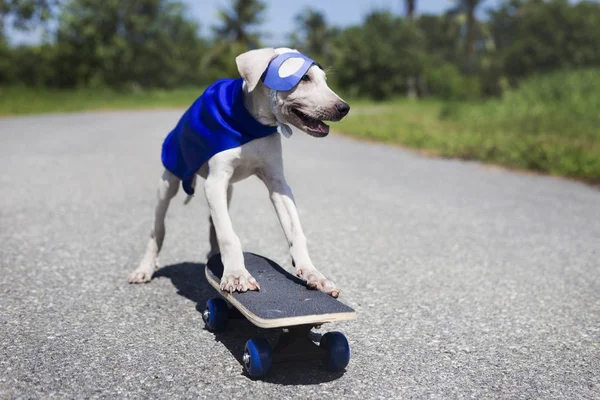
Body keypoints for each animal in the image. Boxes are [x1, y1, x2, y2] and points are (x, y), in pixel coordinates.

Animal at [129, 47, 350, 296]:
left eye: (324, 80)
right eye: (304, 78)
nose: (344, 108)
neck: (251, 124)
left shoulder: (277, 183)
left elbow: (295, 231)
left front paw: (313, 273)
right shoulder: (215, 182)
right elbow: (228, 234)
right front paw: (236, 275)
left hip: (228, 191)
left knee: (213, 221)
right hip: (169, 181)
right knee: (158, 228)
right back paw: (145, 268)